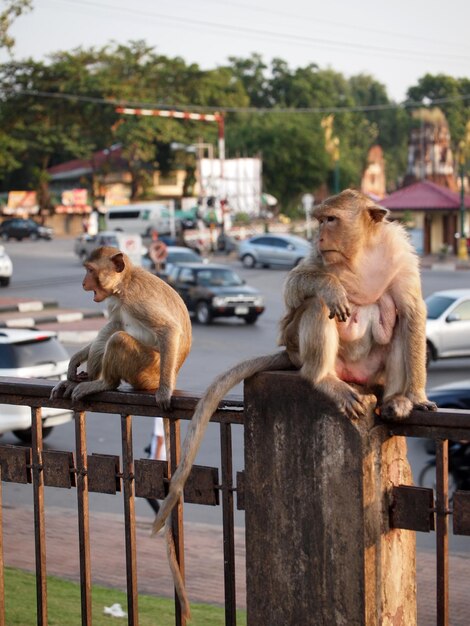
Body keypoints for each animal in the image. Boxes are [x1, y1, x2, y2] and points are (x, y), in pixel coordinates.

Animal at [152, 186, 436, 532]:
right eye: (320, 220)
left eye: (331, 219)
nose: (319, 236)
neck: (359, 255)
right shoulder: (318, 258)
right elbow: (295, 287)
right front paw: (331, 287)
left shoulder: (400, 255)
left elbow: (412, 313)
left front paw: (417, 397)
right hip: (300, 348)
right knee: (316, 305)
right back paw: (323, 378)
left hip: (369, 372)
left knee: (393, 315)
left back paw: (396, 399)